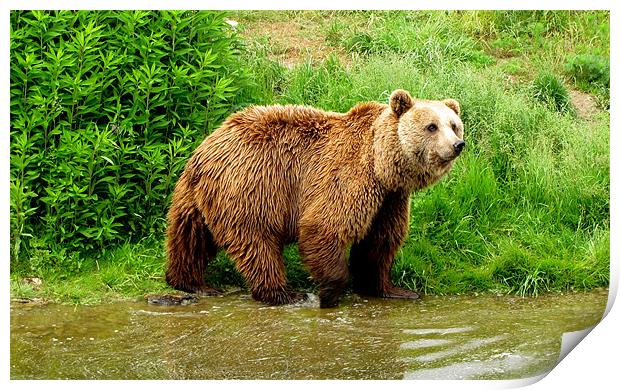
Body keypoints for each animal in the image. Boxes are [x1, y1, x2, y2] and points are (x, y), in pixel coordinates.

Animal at [165, 89, 464, 308]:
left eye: (454, 125)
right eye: (432, 126)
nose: (457, 145)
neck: (382, 166)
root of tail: (210, 144)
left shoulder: (391, 200)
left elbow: (380, 242)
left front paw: (393, 289)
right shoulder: (348, 176)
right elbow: (324, 226)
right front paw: (330, 292)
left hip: (193, 195)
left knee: (189, 236)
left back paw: (190, 281)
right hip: (252, 187)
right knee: (256, 242)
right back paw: (282, 293)